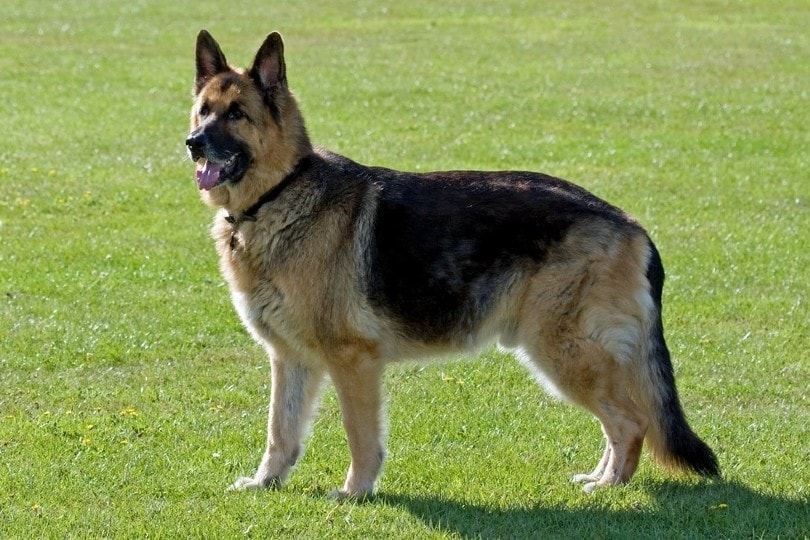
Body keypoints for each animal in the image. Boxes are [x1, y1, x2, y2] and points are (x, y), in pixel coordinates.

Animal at [186, 29, 716, 498]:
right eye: (204, 111)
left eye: (237, 114)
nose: (194, 143)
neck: (279, 194)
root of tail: (630, 223)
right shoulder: (290, 359)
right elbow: (281, 431)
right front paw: (266, 483)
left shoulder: (353, 361)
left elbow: (360, 436)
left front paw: (356, 492)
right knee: (621, 421)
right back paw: (601, 477)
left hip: (562, 352)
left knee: (632, 420)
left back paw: (610, 486)